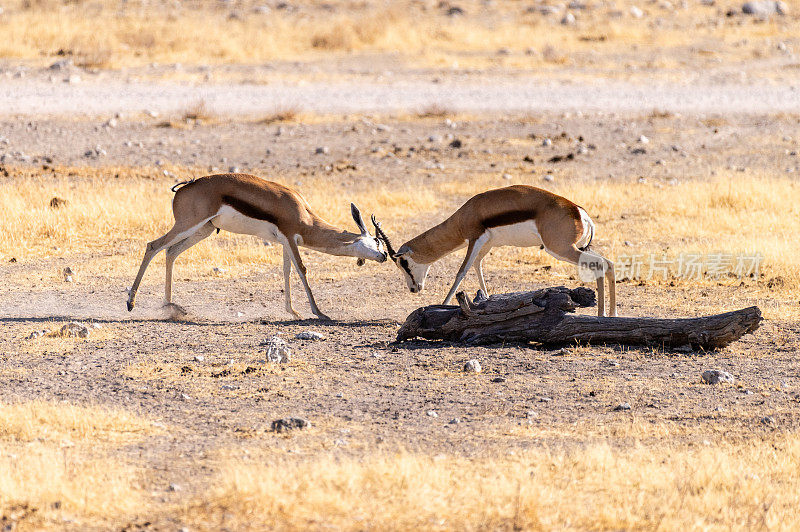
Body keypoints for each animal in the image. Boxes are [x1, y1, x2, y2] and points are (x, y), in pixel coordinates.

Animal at [126, 174, 388, 320]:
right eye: (376, 241)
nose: (385, 256)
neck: (303, 214)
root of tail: (184, 188)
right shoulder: (290, 237)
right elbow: (302, 269)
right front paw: (319, 313)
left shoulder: (285, 242)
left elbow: (287, 272)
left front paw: (293, 312)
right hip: (189, 224)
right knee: (153, 246)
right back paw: (131, 303)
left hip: (203, 230)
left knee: (170, 252)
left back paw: (170, 307)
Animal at [376, 184, 620, 316]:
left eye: (403, 263)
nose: (413, 289)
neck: (467, 213)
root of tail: (579, 212)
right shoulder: (487, 244)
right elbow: (478, 267)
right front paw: (485, 301)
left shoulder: (475, 239)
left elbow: (461, 271)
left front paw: (442, 305)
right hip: (574, 248)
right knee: (608, 263)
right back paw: (612, 313)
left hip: (560, 248)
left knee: (600, 264)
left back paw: (602, 314)